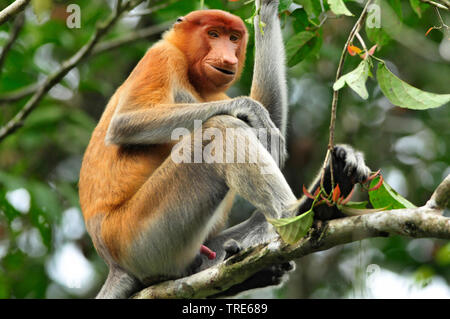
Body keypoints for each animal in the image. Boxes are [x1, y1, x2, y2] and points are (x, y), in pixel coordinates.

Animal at [79, 0, 370, 300]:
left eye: (233, 38)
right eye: (213, 34)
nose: (228, 58)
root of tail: (113, 262)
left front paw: (267, 9)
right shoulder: (161, 56)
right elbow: (126, 121)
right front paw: (248, 108)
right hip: (139, 236)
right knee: (220, 127)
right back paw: (300, 214)